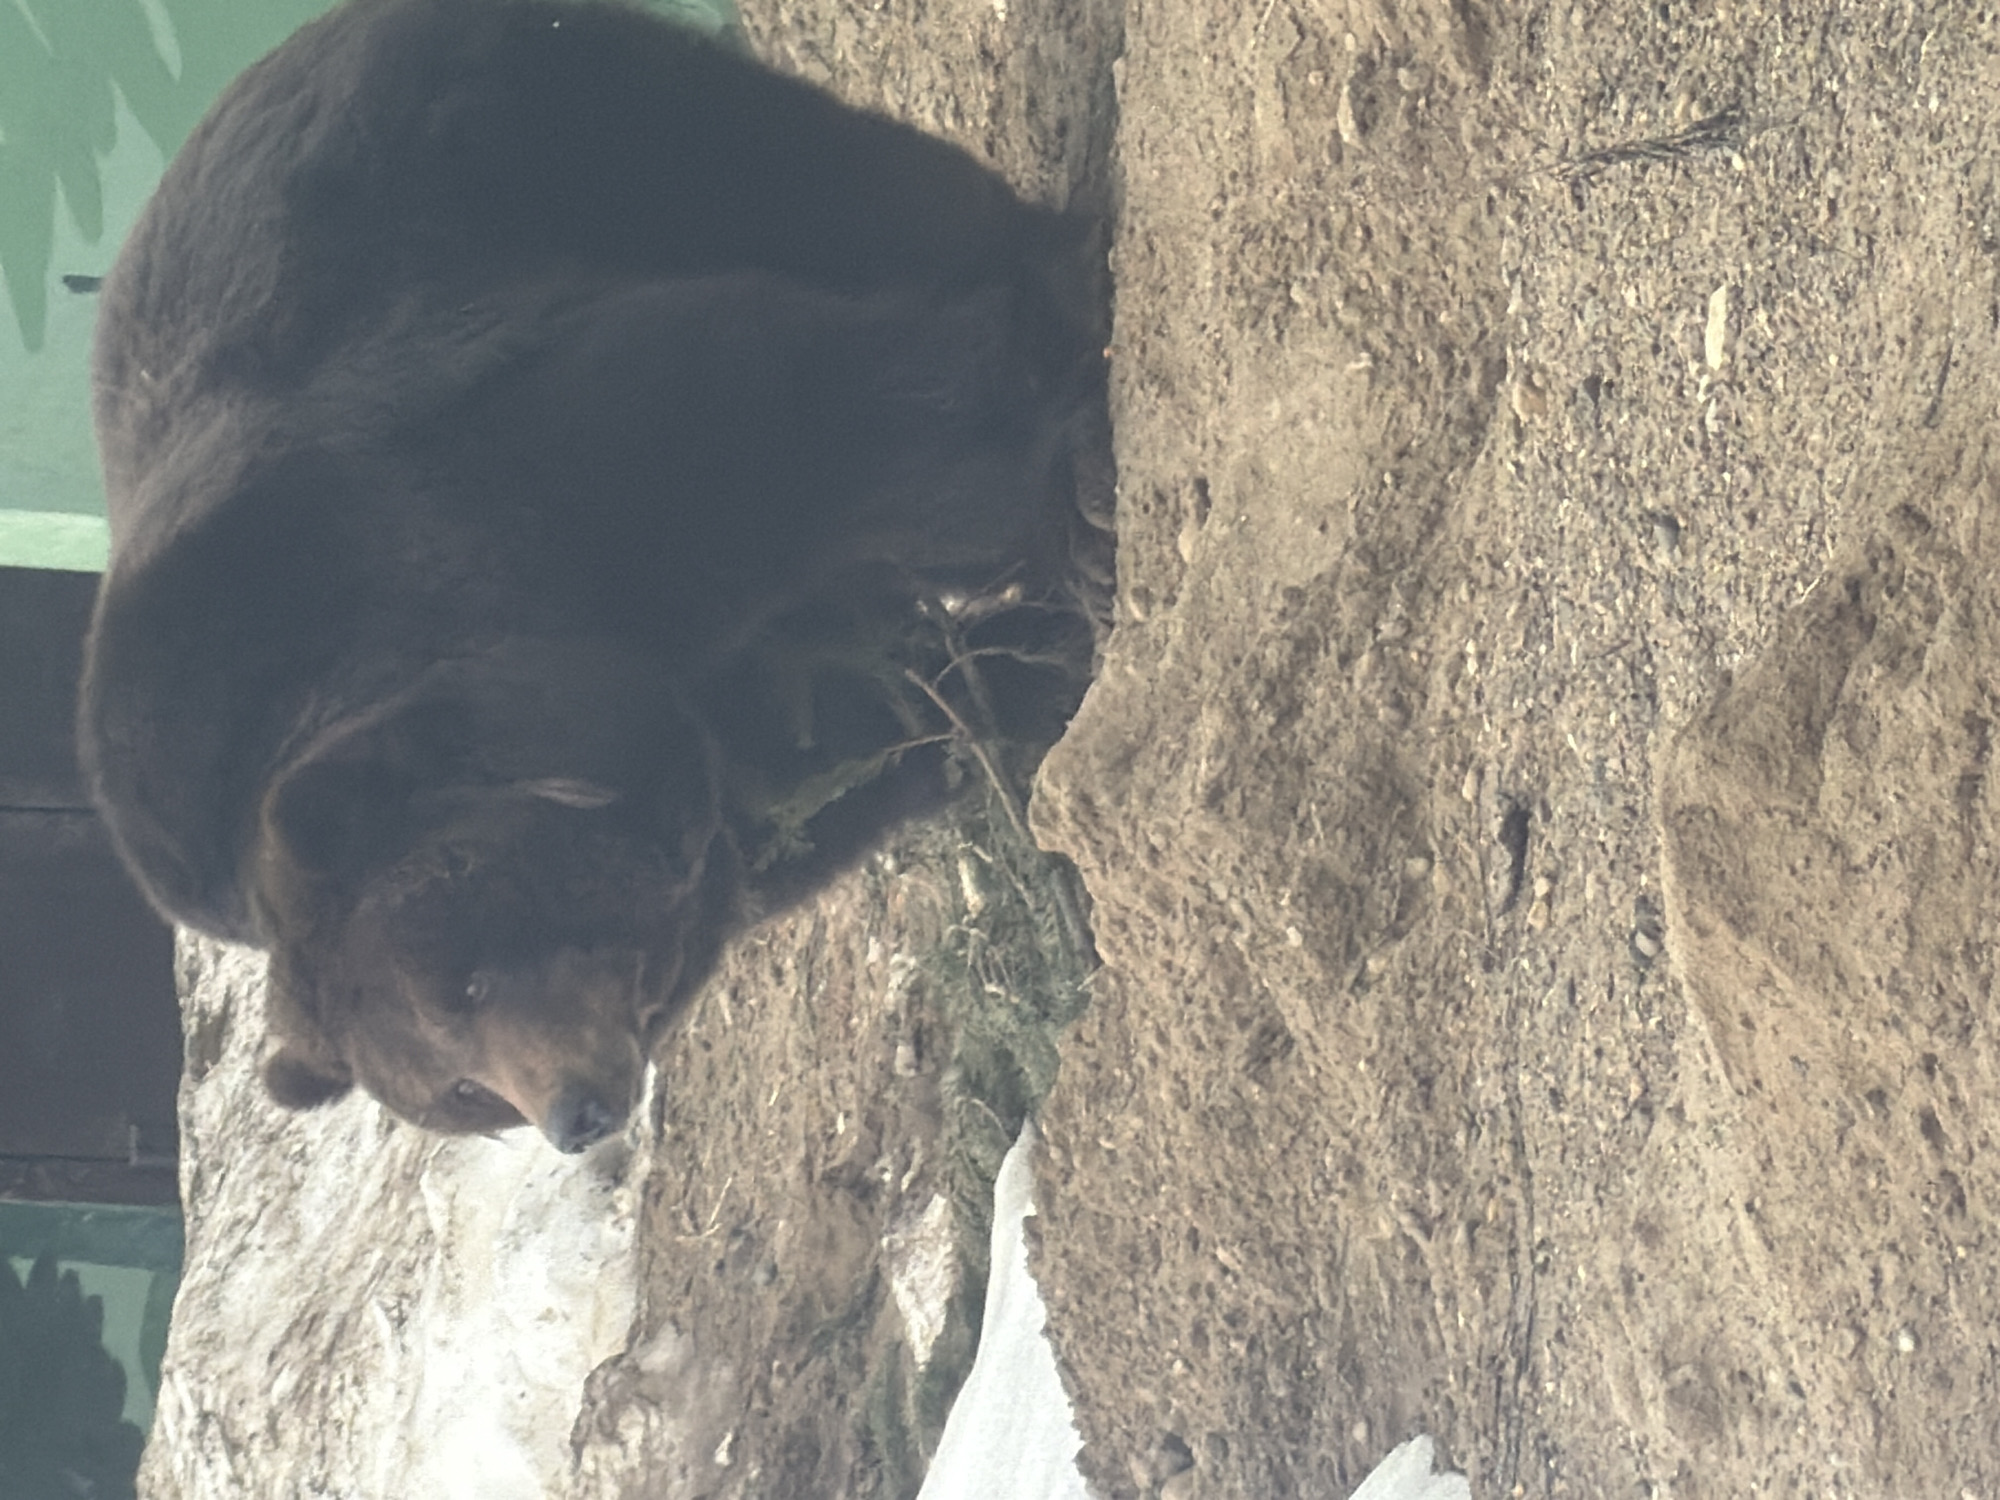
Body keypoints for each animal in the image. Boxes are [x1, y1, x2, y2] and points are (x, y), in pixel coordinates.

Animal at [80, 0, 1110, 1153]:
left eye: (467, 981)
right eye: (463, 1096)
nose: (577, 1115)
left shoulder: (508, 478)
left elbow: (817, 417)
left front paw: (1060, 493)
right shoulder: (723, 727)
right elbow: (858, 739)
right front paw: (1017, 681)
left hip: (560, 141)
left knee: (849, 192)